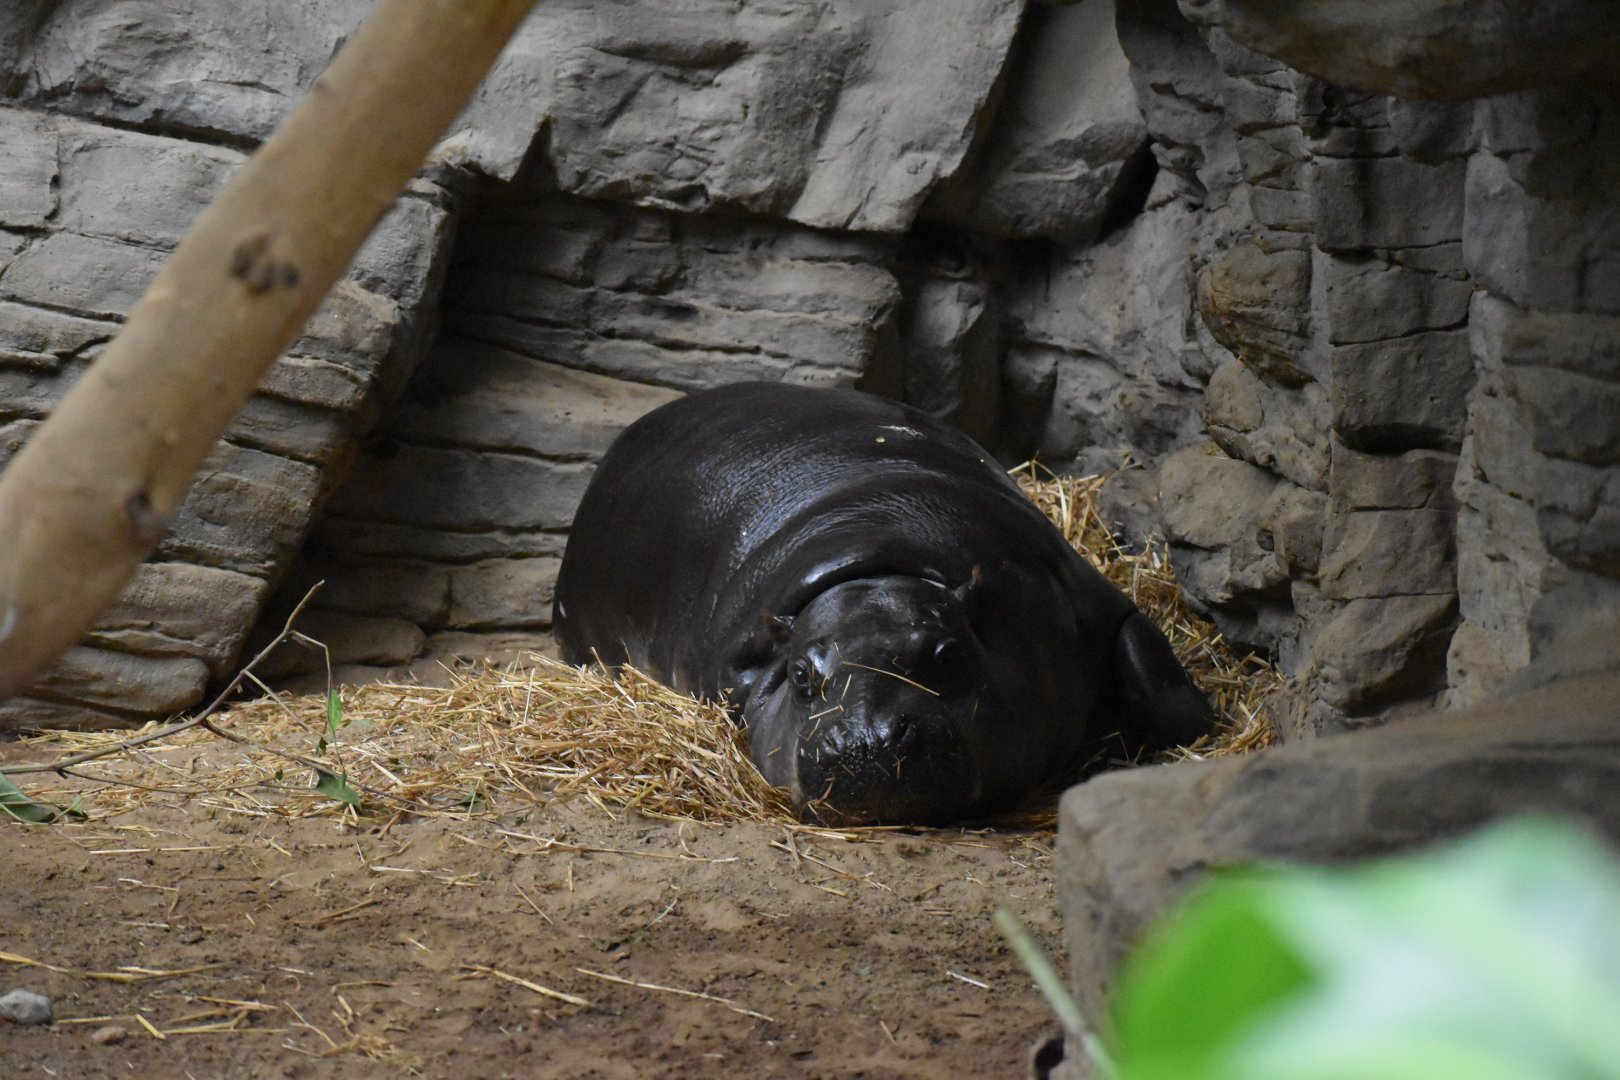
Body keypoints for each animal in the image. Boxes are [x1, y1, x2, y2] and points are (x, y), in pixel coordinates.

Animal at [552, 383, 1213, 825]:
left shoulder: (1089, 598)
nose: (866, 743)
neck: (880, 556)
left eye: (949, 655)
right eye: (799, 674)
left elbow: (1153, 676)